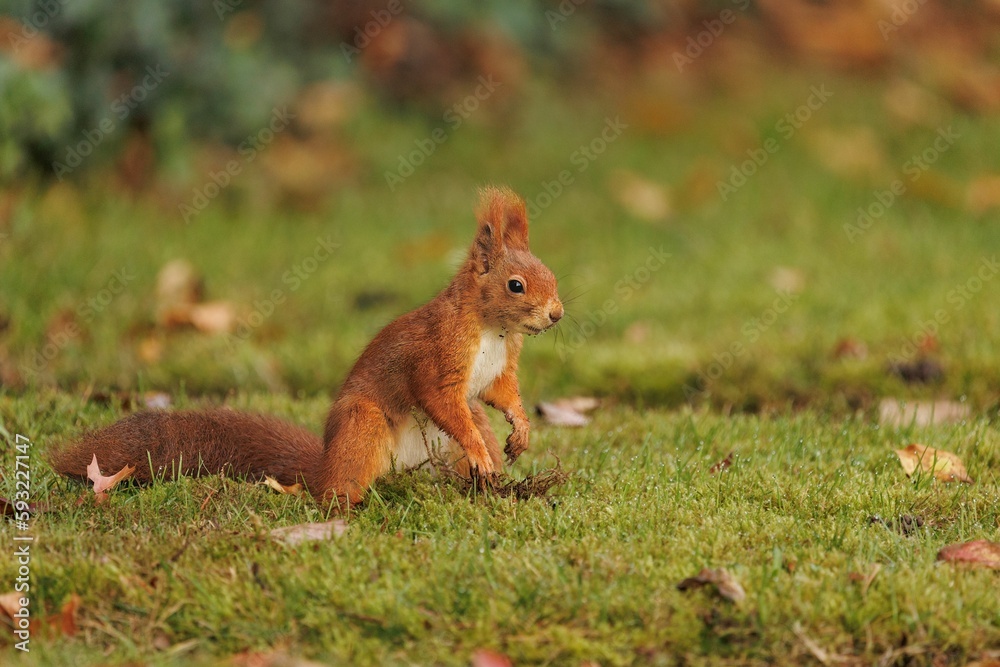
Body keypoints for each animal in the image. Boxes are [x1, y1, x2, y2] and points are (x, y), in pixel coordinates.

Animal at [54, 187, 564, 506]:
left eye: (551, 274)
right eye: (516, 285)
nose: (556, 314)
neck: (494, 330)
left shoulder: (501, 369)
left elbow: (502, 393)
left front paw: (521, 429)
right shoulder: (438, 353)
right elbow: (439, 397)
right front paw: (480, 447)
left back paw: (491, 488)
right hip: (363, 425)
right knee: (333, 490)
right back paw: (351, 505)